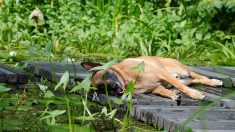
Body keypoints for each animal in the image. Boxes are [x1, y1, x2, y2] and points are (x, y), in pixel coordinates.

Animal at [81, 55, 223, 100]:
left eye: (106, 75)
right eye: (101, 87)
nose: (113, 89)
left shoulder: (161, 74)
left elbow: (180, 87)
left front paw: (195, 95)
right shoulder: (154, 87)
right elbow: (162, 91)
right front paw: (172, 94)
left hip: (183, 71)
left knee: (196, 76)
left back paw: (214, 81)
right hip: (183, 78)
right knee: (194, 80)